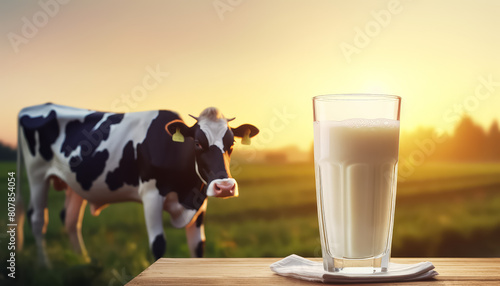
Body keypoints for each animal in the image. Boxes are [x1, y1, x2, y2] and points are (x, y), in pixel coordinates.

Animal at [15, 103, 258, 266]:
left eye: (231, 143)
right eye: (198, 143)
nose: (224, 186)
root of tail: (39, 105)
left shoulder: (199, 201)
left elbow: (198, 247)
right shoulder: (151, 195)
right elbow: (158, 244)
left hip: (75, 184)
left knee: (71, 220)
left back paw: (83, 261)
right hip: (37, 175)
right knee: (38, 219)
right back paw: (46, 266)